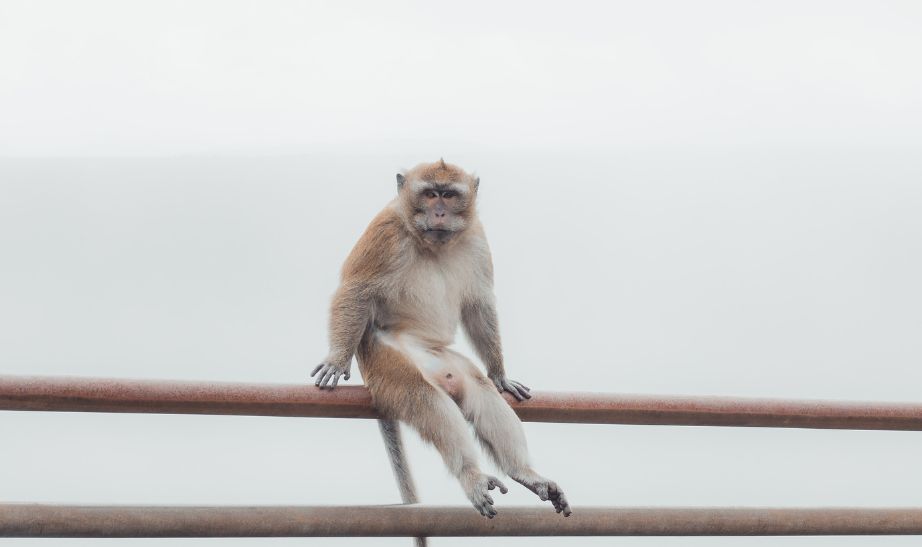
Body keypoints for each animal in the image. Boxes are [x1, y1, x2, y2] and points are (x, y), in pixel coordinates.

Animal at [312, 159, 571, 531]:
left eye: (449, 195)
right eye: (430, 194)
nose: (438, 213)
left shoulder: (476, 238)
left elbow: (479, 304)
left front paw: (500, 373)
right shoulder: (385, 232)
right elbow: (356, 290)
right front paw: (335, 360)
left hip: (446, 360)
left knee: (477, 387)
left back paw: (524, 472)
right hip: (383, 358)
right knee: (422, 395)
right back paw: (472, 474)